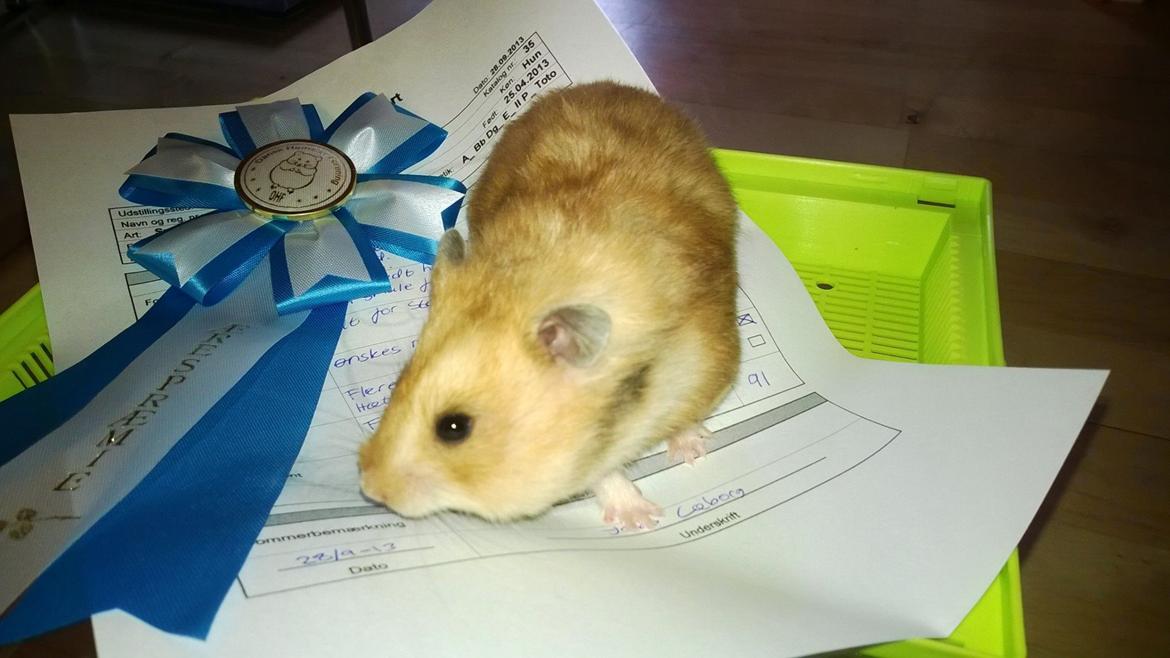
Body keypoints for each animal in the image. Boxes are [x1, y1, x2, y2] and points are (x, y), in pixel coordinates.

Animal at [358, 81, 739, 530]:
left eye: (453, 427)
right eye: (396, 386)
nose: (368, 486)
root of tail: (604, 85)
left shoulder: (709, 366)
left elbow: (684, 419)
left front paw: (692, 455)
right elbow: (602, 474)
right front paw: (642, 520)